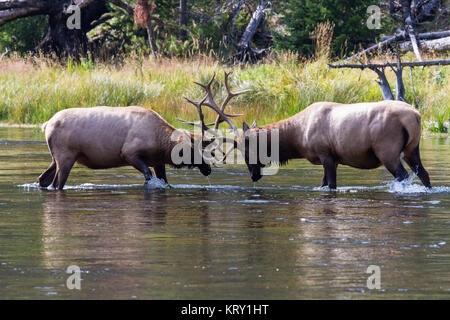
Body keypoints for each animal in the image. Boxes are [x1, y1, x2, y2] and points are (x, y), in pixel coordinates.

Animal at [237, 101, 430, 189]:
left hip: (387, 151)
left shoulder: (325, 155)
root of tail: (416, 115)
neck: (298, 138)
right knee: (423, 173)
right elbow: (323, 184)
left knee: (403, 175)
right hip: (412, 149)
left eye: (246, 151)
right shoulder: (334, 159)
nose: (253, 176)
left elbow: (331, 184)